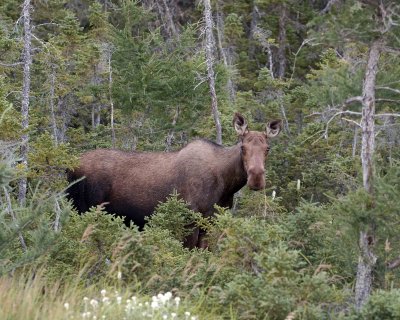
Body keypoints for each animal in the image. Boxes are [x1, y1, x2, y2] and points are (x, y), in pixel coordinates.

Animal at [67, 112, 282, 248]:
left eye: (268, 148)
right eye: (242, 147)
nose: (256, 178)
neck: (227, 185)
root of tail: (70, 167)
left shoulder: (211, 222)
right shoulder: (189, 220)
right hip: (84, 209)